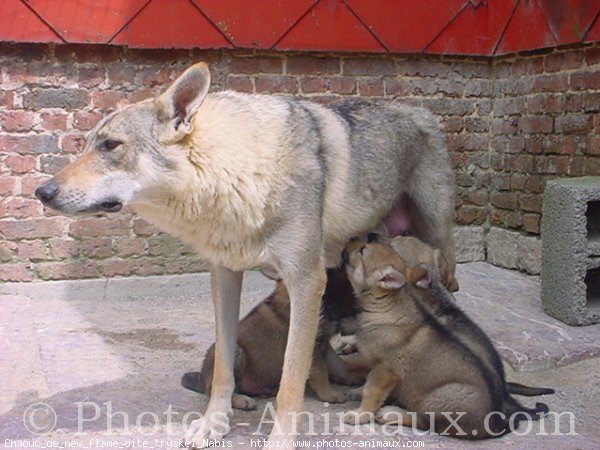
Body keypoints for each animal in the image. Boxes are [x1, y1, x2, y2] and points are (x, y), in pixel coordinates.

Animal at [340, 239, 552, 440]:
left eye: (362, 250)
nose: (350, 239)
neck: (384, 304)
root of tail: (497, 423)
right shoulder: (375, 365)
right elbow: (367, 382)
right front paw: (356, 391)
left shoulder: (385, 369)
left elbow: (371, 392)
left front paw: (359, 415)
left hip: (436, 398)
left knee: (426, 422)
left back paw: (392, 413)